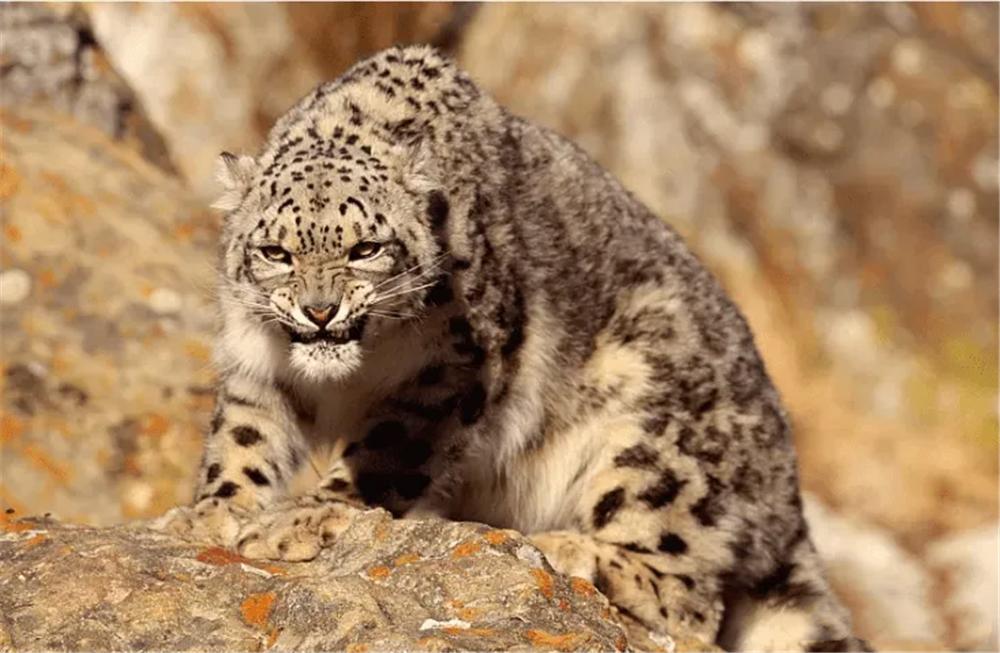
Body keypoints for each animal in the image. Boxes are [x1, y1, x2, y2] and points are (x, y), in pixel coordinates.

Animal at [156, 43, 868, 648]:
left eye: (366, 248)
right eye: (276, 252)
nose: (320, 311)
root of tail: (788, 496)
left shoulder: (450, 370)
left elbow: (387, 451)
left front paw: (306, 518)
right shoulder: (257, 359)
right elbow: (245, 436)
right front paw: (210, 513)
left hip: (653, 439)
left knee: (689, 600)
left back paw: (567, 547)